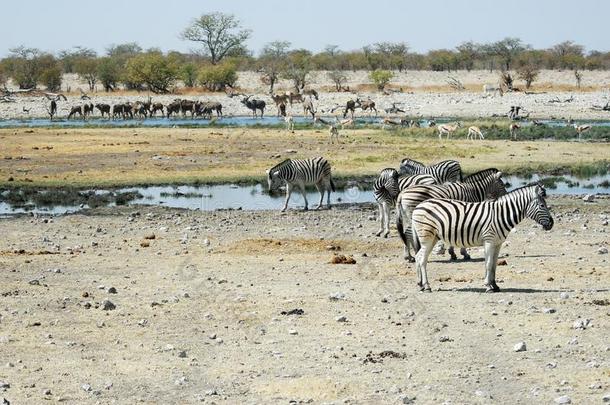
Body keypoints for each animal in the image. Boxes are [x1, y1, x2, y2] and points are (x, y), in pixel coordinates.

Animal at [408, 182, 552, 290]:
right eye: (542, 205)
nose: (551, 223)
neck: (500, 214)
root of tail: (419, 206)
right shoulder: (489, 240)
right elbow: (488, 263)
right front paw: (488, 286)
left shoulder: (498, 243)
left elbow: (494, 264)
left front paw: (495, 285)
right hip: (426, 237)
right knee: (421, 259)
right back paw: (426, 286)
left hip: (433, 238)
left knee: (418, 257)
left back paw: (420, 284)